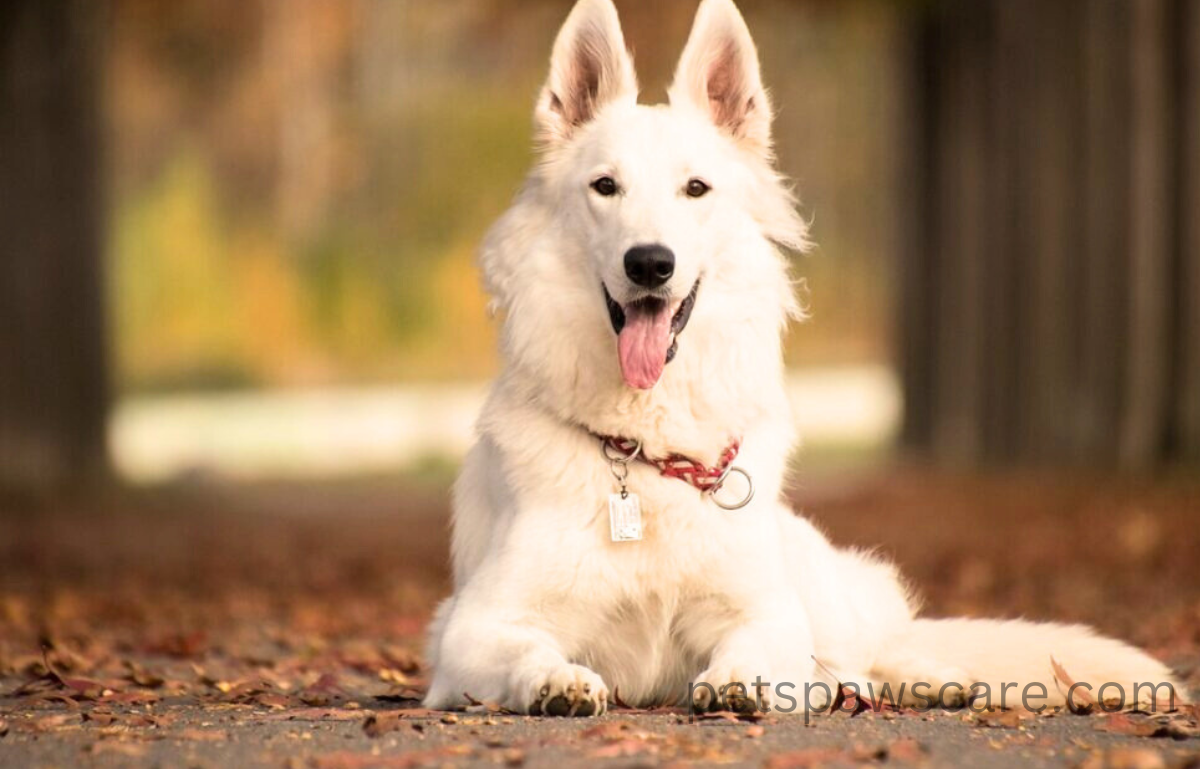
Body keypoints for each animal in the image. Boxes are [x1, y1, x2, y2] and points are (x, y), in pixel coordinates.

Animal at [424, 0, 1180, 715]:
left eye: (695, 189)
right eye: (604, 186)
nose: (649, 264)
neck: (645, 452)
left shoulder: (767, 611)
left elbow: (758, 644)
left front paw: (738, 680)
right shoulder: (470, 626)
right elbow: (527, 650)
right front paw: (558, 680)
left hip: (817, 585)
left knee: (871, 651)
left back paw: (932, 680)